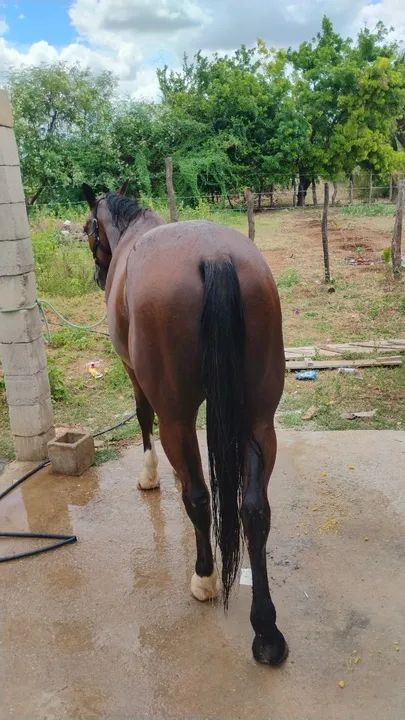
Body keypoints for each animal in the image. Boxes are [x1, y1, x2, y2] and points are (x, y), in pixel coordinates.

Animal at [82, 182, 288, 665]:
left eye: (88, 230)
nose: (99, 276)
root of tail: (214, 256)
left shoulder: (132, 373)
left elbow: (142, 418)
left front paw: (150, 476)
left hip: (176, 412)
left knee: (198, 495)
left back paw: (204, 578)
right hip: (259, 421)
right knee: (254, 510)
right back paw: (266, 631)